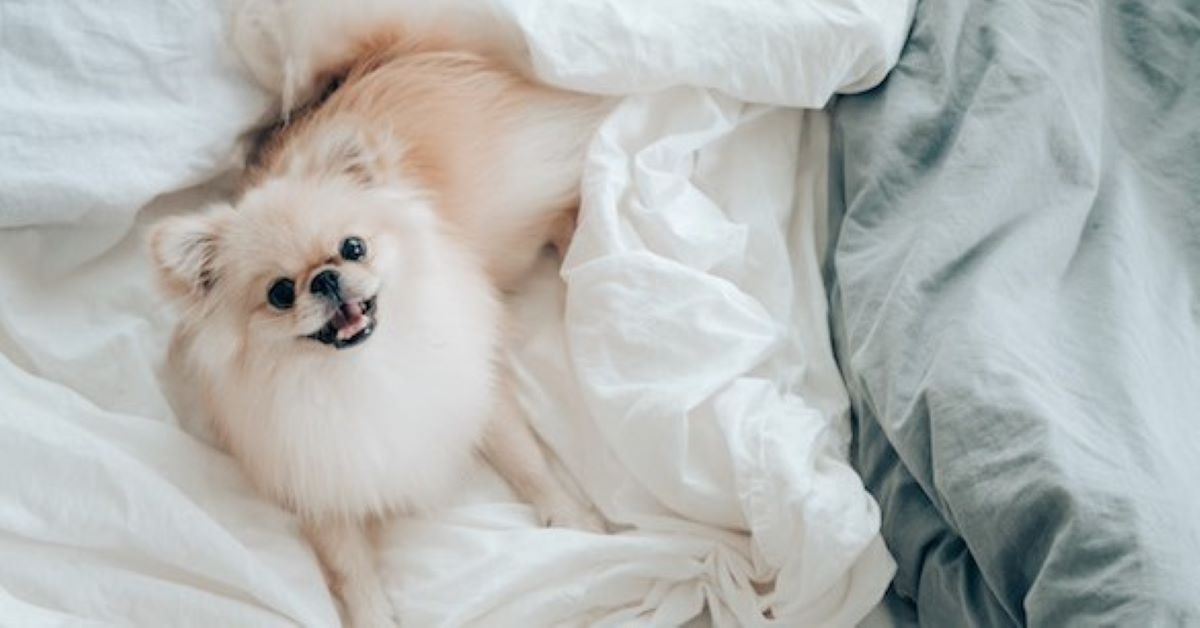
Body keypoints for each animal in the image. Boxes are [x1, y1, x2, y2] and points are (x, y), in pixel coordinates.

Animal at [151, 15, 614, 628]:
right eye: (279, 293)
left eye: (353, 247)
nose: (325, 278)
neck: (363, 369)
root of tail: (401, 53)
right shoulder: (311, 474)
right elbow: (349, 565)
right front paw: (371, 613)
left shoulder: (476, 391)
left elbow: (527, 461)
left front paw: (572, 519)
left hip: (513, 218)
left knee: (559, 206)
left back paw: (577, 246)